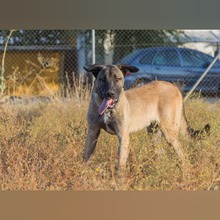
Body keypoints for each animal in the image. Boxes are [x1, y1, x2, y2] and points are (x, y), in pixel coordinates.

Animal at [83, 64, 211, 169]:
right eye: (102, 79)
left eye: (117, 79)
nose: (110, 94)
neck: (108, 110)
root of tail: (173, 86)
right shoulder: (92, 132)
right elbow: (85, 156)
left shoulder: (123, 135)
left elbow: (121, 163)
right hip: (154, 135)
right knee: (162, 155)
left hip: (169, 132)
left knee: (183, 155)